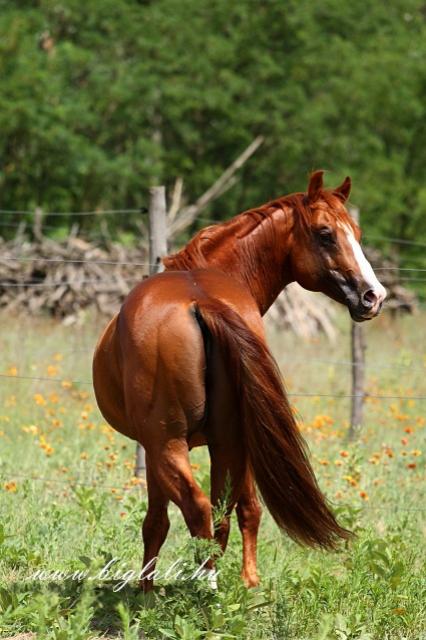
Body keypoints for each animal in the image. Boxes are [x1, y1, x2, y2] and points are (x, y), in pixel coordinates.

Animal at [92, 170, 386, 592]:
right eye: (326, 233)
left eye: (357, 233)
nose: (373, 296)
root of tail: (202, 301)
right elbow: (245, 508)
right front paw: (251, 583)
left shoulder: (154, 449)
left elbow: (157, 522)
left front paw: (146, 592)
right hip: (224, 440)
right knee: (221, 512)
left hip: (168, 445)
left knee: (198, 509)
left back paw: (206, 586)